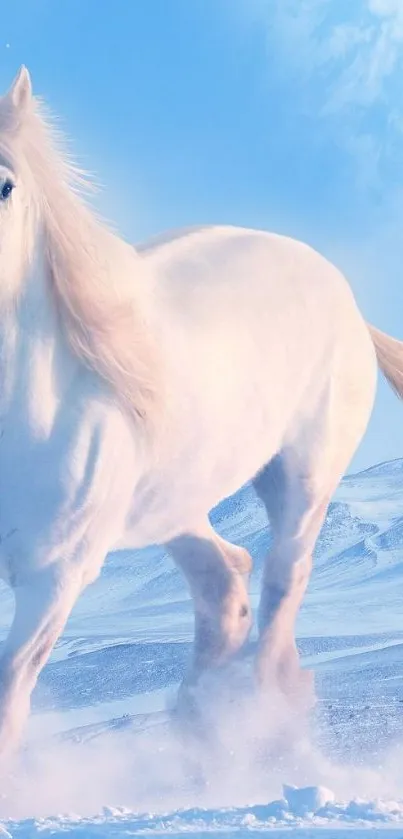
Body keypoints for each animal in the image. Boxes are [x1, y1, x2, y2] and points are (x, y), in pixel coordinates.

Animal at [0, 67, 400, 756]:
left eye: (5, 184)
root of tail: (342, 292)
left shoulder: (52, 577)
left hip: (301, 483)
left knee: (279, 589)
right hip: (174, 500)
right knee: (227, 582)